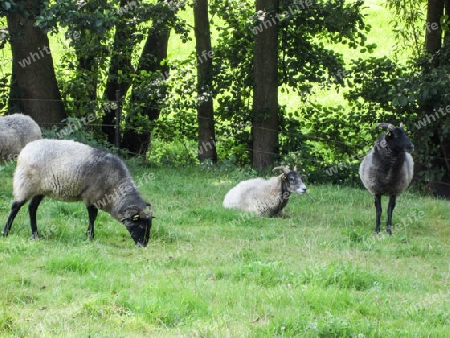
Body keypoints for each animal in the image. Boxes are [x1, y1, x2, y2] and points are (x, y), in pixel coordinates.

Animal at [1, 139, 154, 247]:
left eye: (150, 226)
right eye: (141, 226)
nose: (143, 245)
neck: (115, 185)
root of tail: (25, 150)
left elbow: (93, 216)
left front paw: (88, 235)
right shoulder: (91, 196)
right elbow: (93, 216)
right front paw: (90, 236)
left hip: (40, 189)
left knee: (32, 208)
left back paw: (35, 235)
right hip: (26, 184)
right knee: (15, 206)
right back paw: (5, 232)